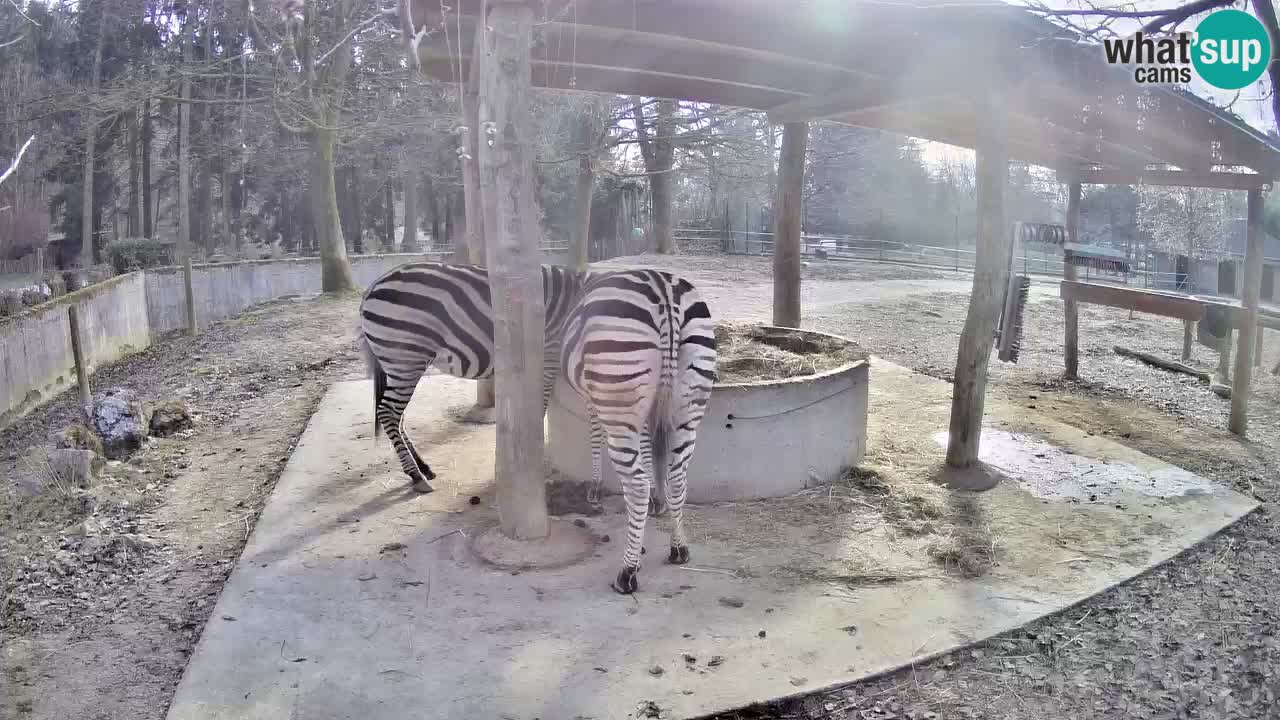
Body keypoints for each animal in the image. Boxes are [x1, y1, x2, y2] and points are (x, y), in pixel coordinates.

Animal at [358, 260, 591, 489]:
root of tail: (373, 286)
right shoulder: (547, 354)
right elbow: (537, 406)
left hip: (399, 365)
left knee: (398, 415)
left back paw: (423, 467)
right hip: (405, 359)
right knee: (388, 411)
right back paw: (416, 475)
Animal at [563, 266, 721, 591]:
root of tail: (664, 290)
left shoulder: (593, 398)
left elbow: (595, 436)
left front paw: (595, 488)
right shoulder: (648, 408)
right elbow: (648, 450)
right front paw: (655, 502)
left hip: (618, 393)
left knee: (635, 485)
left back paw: (627, 572)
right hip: (689, 402)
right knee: (678, 476)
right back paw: (678, 548)